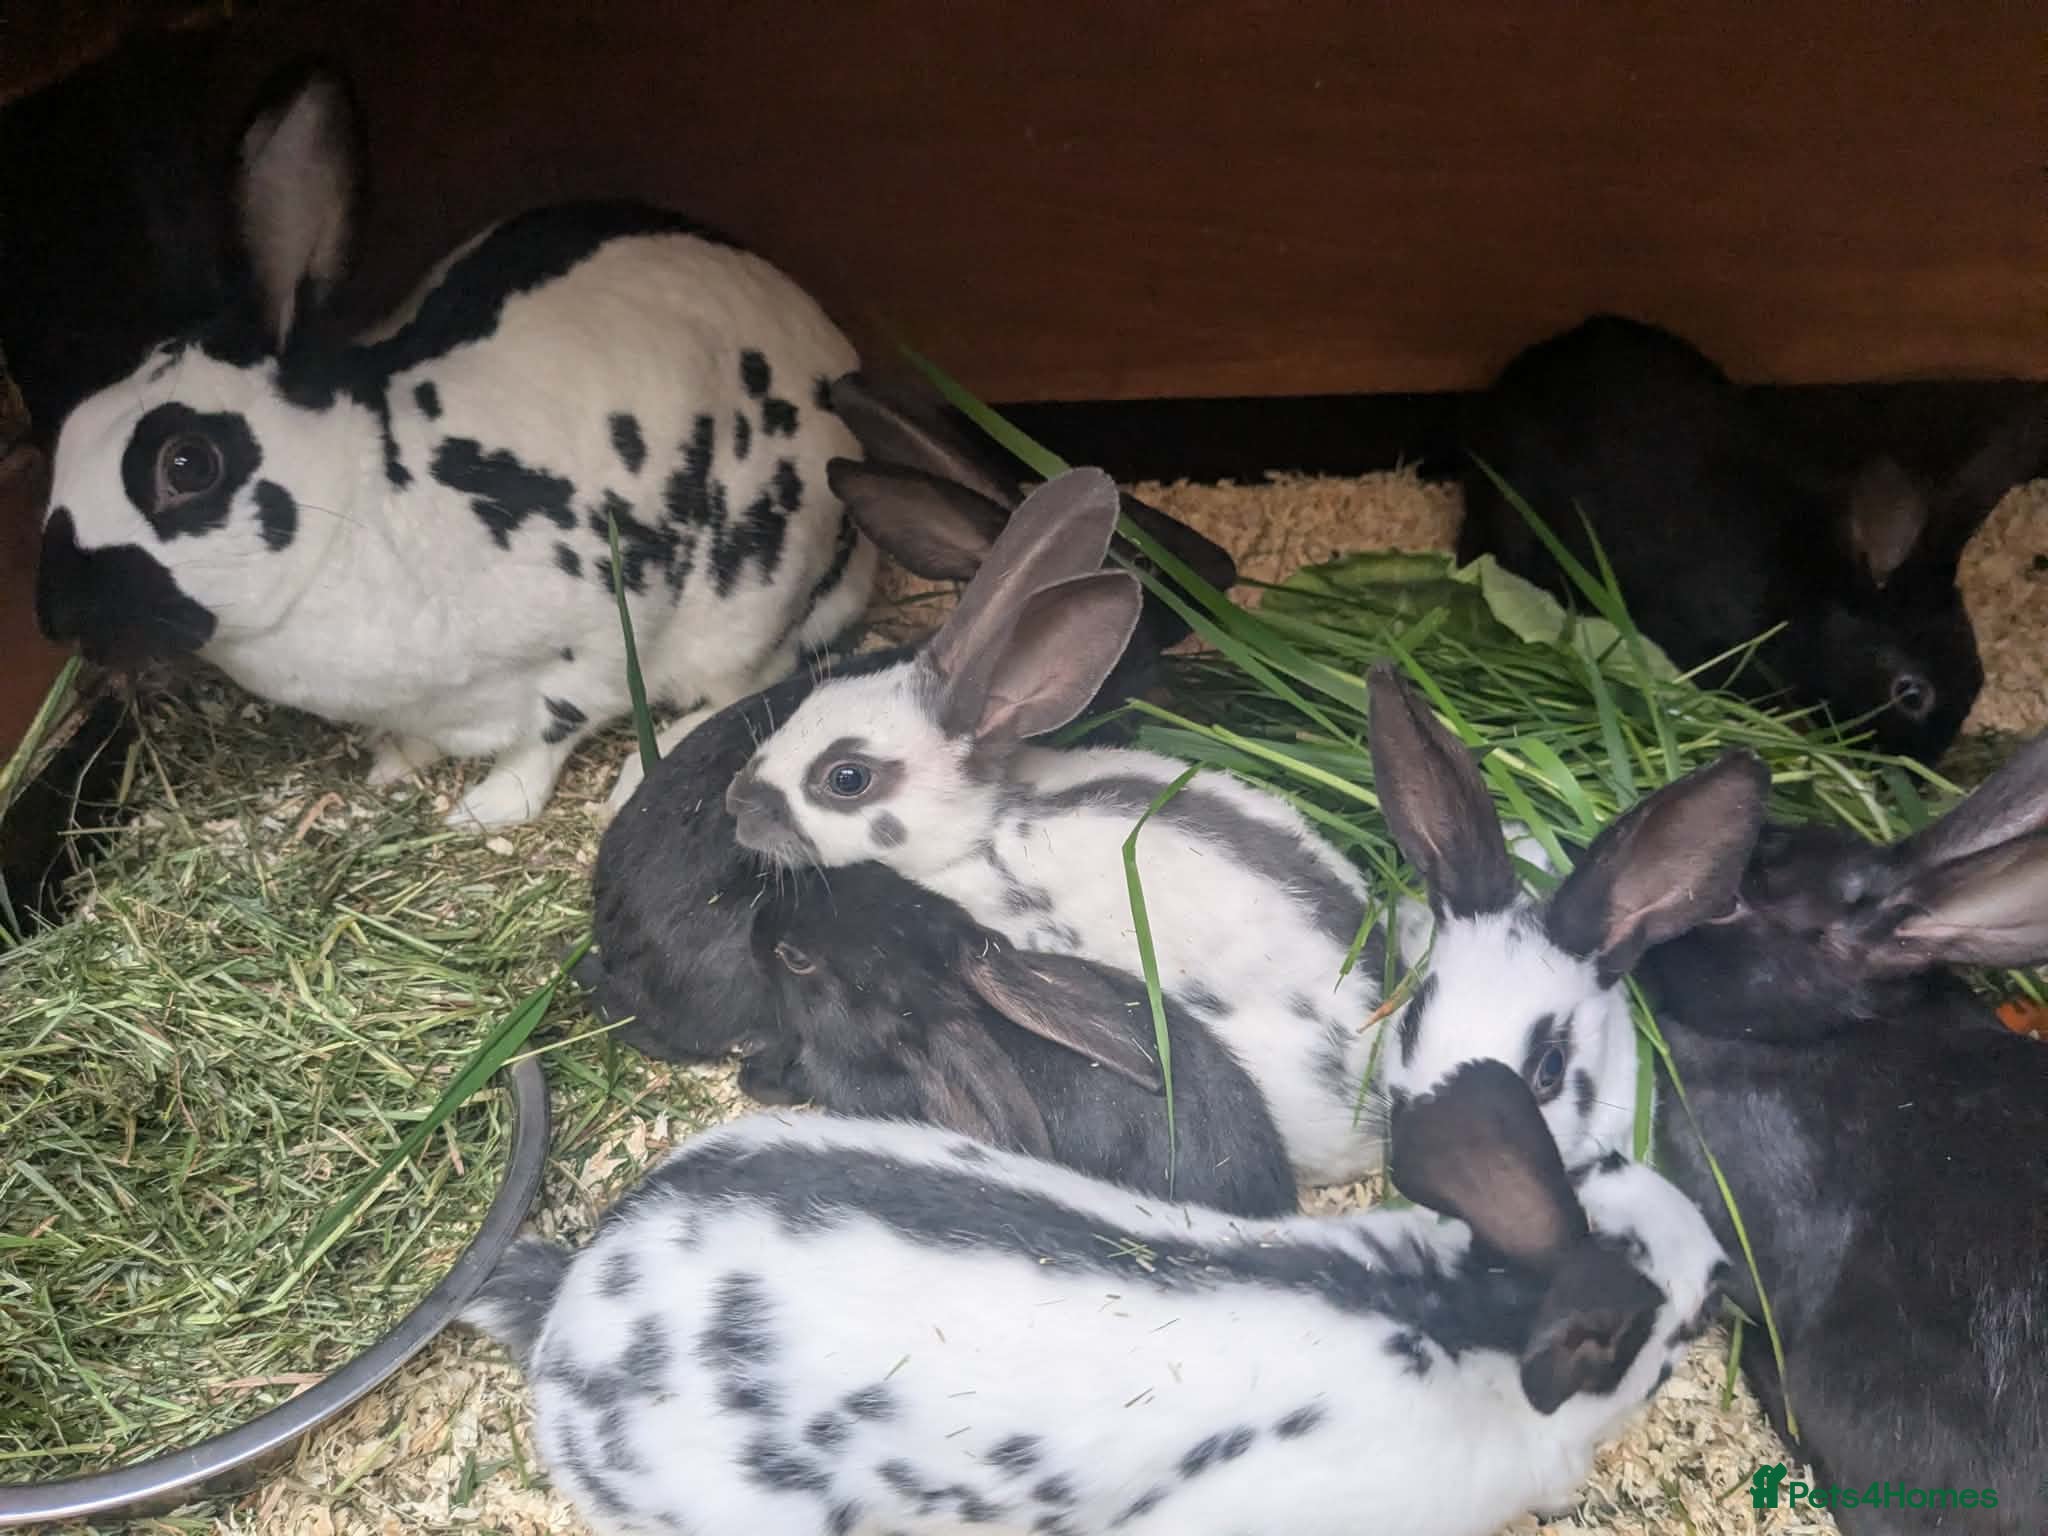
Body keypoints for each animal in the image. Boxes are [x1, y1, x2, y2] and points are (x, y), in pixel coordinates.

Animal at [34, 62, 877, 828]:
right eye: (69, 430)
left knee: (754, 681)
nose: (58, 618)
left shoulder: (599, 636)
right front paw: (393, 763)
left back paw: (649, 767)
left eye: (186, 464)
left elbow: (549, 733)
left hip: (755, 602)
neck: (362, 495)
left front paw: (485, 808)